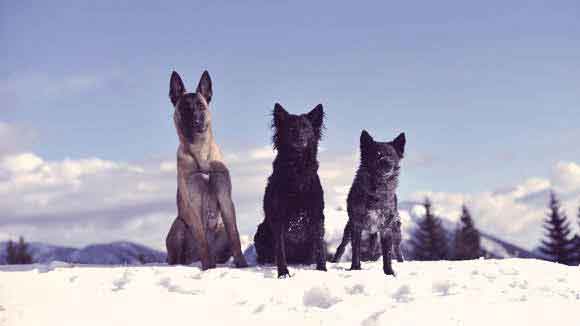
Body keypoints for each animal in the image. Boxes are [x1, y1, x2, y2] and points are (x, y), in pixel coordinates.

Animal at [164, 70, 246, 268]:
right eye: (184, 108)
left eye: (201, 106)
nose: (195, 121)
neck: (200, 152)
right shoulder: (193, 202)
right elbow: (202, 239)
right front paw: (208, 267)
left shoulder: (225, 198)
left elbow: (235, 236)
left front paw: (242, 264)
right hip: (179, 226)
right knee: (177, 258)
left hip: (221, 230)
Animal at [253, 102, 326, 278]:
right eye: (291, 128)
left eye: (306, 128)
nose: (300, 138)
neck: (297, 168)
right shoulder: (278, 215)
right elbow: (280, 249)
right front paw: (283, 273)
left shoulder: (316, 214)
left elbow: (319, 247)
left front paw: (322, 270)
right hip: (261, 231)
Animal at [334, 130, 406, 276]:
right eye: (377, 154)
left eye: (391, 155)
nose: (388, 164)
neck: (376, 191)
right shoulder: (356, 225)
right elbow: (356, 250)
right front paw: (355, 269)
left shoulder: (386, 228)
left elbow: (387, 254)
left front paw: (389, 273)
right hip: (348, 228)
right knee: (342, 246)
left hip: (396, 229)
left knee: (397, 249)